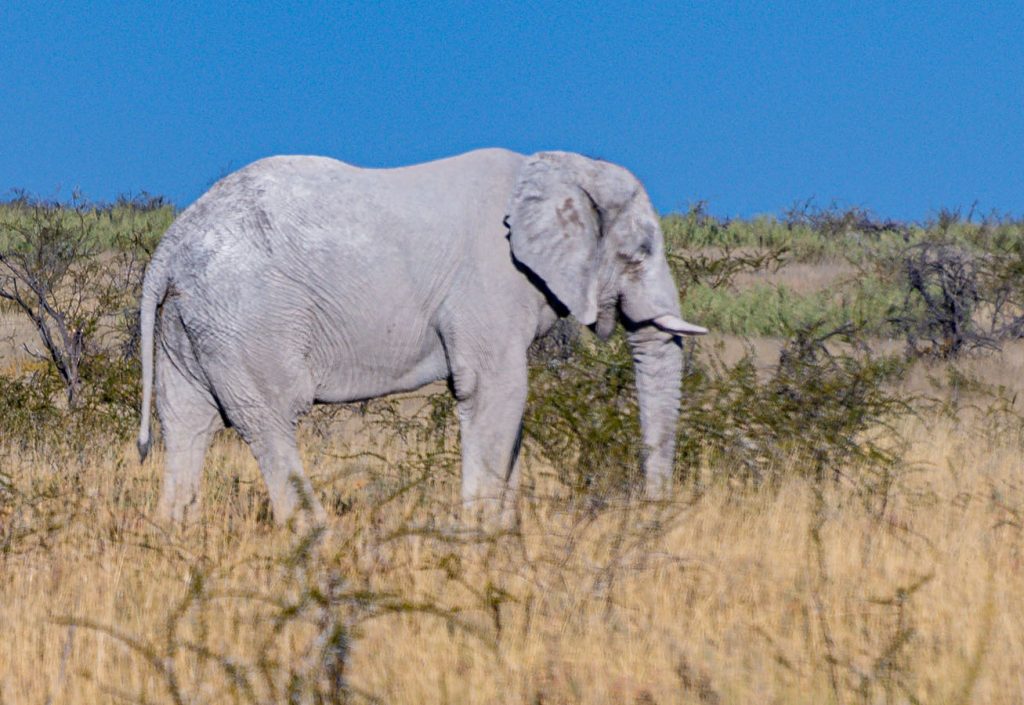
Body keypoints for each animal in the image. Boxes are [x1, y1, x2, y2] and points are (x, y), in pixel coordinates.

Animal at [138, 148, 704, 522]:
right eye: (639, 253)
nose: (652, 513)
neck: (558, 167)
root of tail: (171, 244)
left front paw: (505, 531)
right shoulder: (488, 282)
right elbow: (498, 390)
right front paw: (481, 537)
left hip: (190, 322)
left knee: (188, 422)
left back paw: (175, 535)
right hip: (248, 316)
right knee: (271, 419)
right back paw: (319, 538)